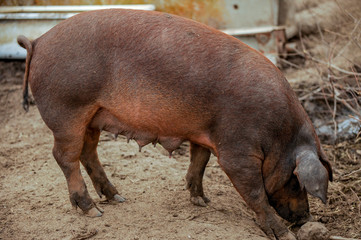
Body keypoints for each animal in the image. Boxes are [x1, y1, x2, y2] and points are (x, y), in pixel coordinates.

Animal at [18, 8, 330, 238]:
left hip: (93, 115)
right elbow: (254, 192)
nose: (305, 217)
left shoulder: (204, 132)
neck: (279, 134)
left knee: (87, 152)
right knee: (64, 156)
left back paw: (117, 198)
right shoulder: (237, 149)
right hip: (67, 109)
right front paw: (283, 235)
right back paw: (93, 210)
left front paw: (201, 201)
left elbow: (199, 161)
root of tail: (38, 41)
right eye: (296, 182)